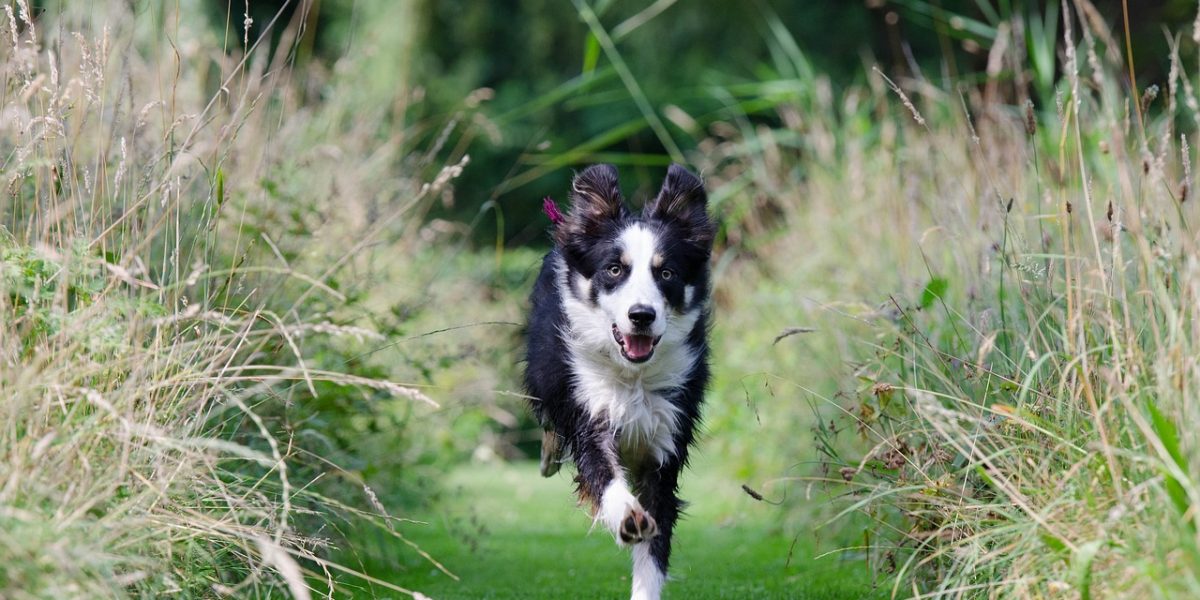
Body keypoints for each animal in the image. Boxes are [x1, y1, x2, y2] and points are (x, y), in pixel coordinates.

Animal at [523, 163, 710, 600]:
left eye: (666, 272)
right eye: (614, 269)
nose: (641, 315)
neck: (633, 377)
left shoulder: (667, 435)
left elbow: (654, 544)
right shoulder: (588, 408)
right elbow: (602, 470)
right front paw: (626, 514)